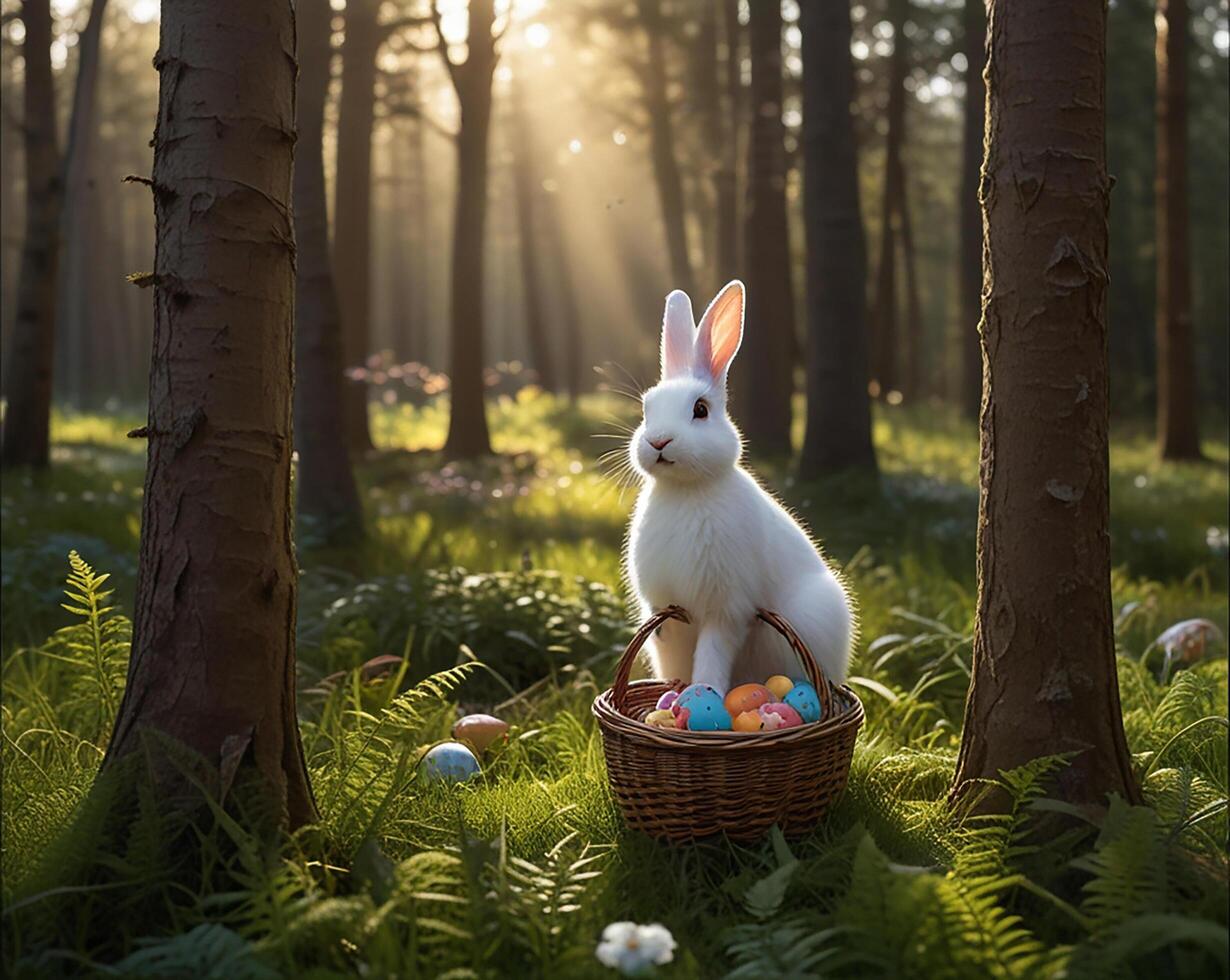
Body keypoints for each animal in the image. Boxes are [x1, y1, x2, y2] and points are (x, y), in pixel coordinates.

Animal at [624, 279, 856, 693]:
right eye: (647, 409)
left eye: (700, 410)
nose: (658, 441)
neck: (687, 490)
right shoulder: (667, 607)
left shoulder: (726, 609)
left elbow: (714, 651)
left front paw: (706, 693)